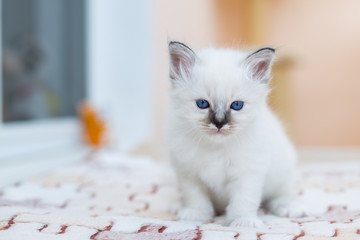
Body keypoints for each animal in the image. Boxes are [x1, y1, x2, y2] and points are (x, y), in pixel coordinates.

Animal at [167, 41, 302, 227]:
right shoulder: (188, 173)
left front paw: (242, 221)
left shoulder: (248, 173)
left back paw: (287, 208)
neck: (215, 147)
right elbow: (195, 197)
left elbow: (244, 200)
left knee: (281, 195)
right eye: (202, 104)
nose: (219, 123)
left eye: (237, 105)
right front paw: (196, 214)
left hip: (283, 174)